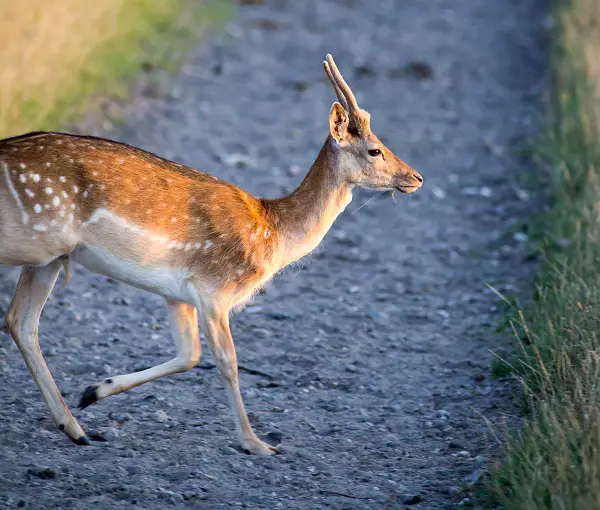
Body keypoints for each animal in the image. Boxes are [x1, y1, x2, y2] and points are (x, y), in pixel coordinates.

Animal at [0, 54, 422, 454]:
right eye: (375, 150)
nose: (415, 177)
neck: (272, 233)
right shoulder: (214, 287)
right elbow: (227, 362)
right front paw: (256, 443)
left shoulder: (176, 293)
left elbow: (189, 353)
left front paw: (93, 391)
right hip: (35, 237)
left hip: (49, 260)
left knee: (21, 321)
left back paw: (74, 428)